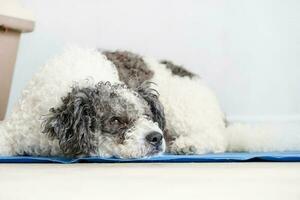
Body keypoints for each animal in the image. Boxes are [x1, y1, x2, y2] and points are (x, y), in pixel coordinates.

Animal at [0, 47, 298, 158]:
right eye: (116, 120)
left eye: (149, 116)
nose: (156, 137)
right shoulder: (16, 128)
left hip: (184, 111)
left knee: (218, 138)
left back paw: (189, 144)